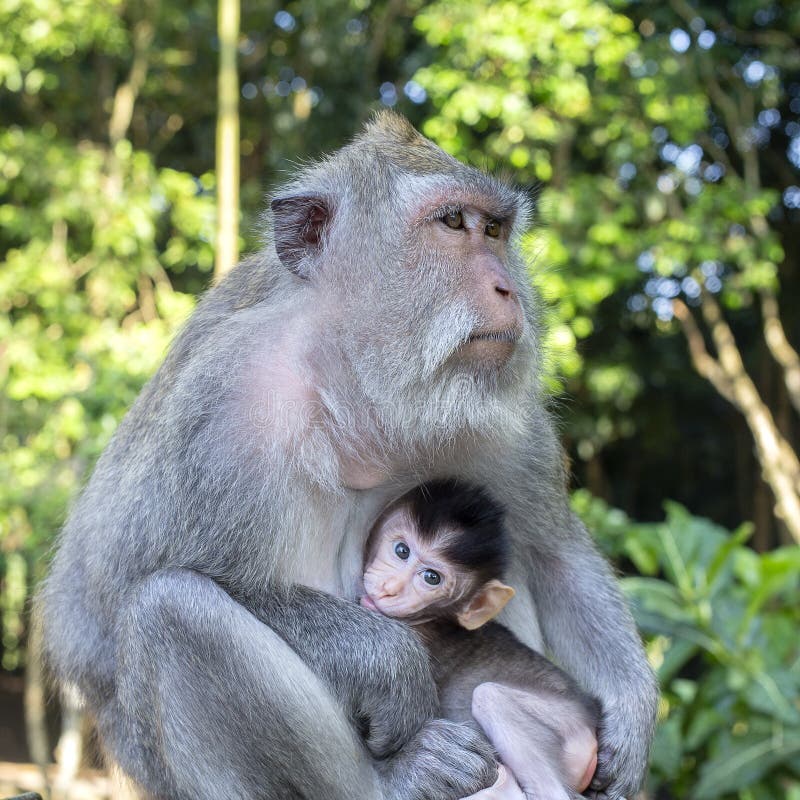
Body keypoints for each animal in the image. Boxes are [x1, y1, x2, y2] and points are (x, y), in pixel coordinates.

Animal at [362, 482, 600, 800]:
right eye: (402, 551)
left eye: (431, 577)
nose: (390, 588)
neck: (430, 620)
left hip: (566, 720)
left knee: (491, 697)